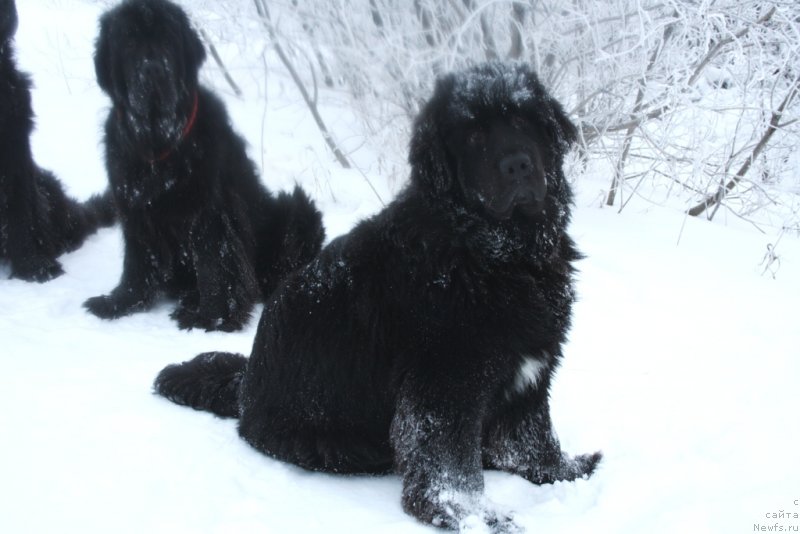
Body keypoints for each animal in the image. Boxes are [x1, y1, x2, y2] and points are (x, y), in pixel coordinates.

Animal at [85, 0, 324, 332]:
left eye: (168, 40)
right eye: (129, 42)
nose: (153, 70)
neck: (160, 144)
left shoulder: (209, 210)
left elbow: (214, 261)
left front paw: (212, 316)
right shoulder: (135, 208)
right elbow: (138, 259)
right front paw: (120, 301)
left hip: (297, 210)